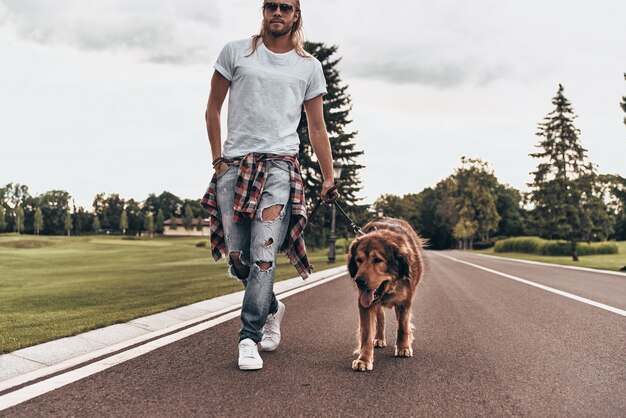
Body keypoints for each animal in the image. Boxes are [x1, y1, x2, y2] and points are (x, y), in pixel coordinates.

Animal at [346, 217, 424, 370]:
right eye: (359, 260)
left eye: (377, 260)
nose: (359, 281)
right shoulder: (365, 304)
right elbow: (366, 334)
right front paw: (364, 359)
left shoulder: (405, 302)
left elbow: (403, 326)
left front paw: (403, 347)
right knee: (380, 316)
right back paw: (379, 338)